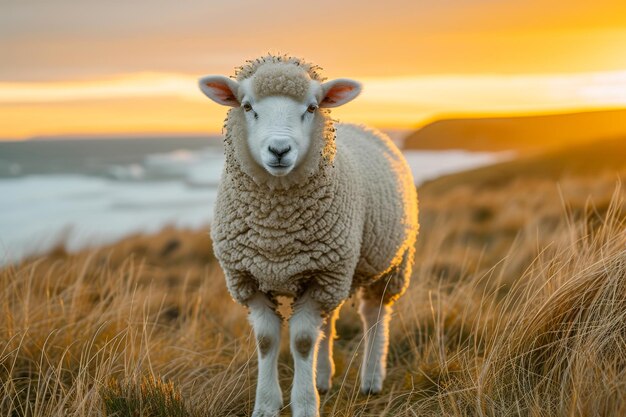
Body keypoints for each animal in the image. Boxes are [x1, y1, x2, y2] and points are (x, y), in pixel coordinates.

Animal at [197, 55, 416, 416]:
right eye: (247, 106)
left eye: (312, 107)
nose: (279, 150)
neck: (276, 233)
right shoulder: (250, 278)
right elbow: (267, 341)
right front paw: (266, 406)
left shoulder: (321, 274)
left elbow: (301, 342)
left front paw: (304, 405)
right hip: (338, 274)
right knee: (329, 320)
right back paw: (324, 377)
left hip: (389, 263)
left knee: (374, 316)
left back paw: (371, 378)